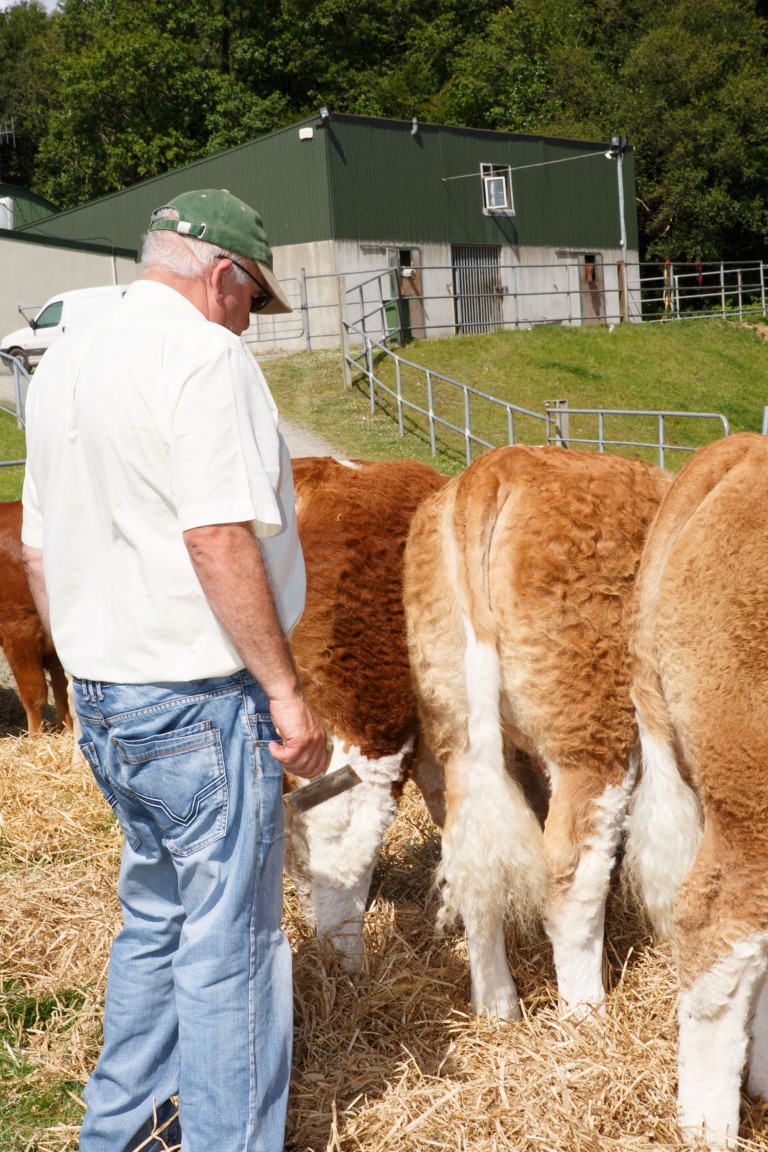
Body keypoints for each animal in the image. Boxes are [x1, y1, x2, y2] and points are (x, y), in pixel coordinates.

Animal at [403, 444, 671, 1019]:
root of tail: (501, 463)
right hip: (593, 734)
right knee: (570, 874)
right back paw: (587, 1014)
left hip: (456, 725)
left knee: (471, 858)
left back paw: (497, 1006)